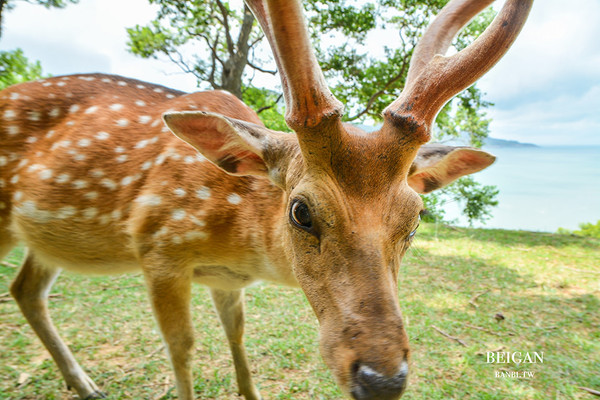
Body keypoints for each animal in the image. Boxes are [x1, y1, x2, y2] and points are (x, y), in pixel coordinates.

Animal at [1, 0, 536, 398]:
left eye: (417, 218)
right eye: (301, 211)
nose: (382, 380)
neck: (239, 242)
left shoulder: (223, 279)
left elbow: (236, 335)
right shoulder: (158, 246)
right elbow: (182, 347)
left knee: (24, 289)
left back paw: (84, 383)